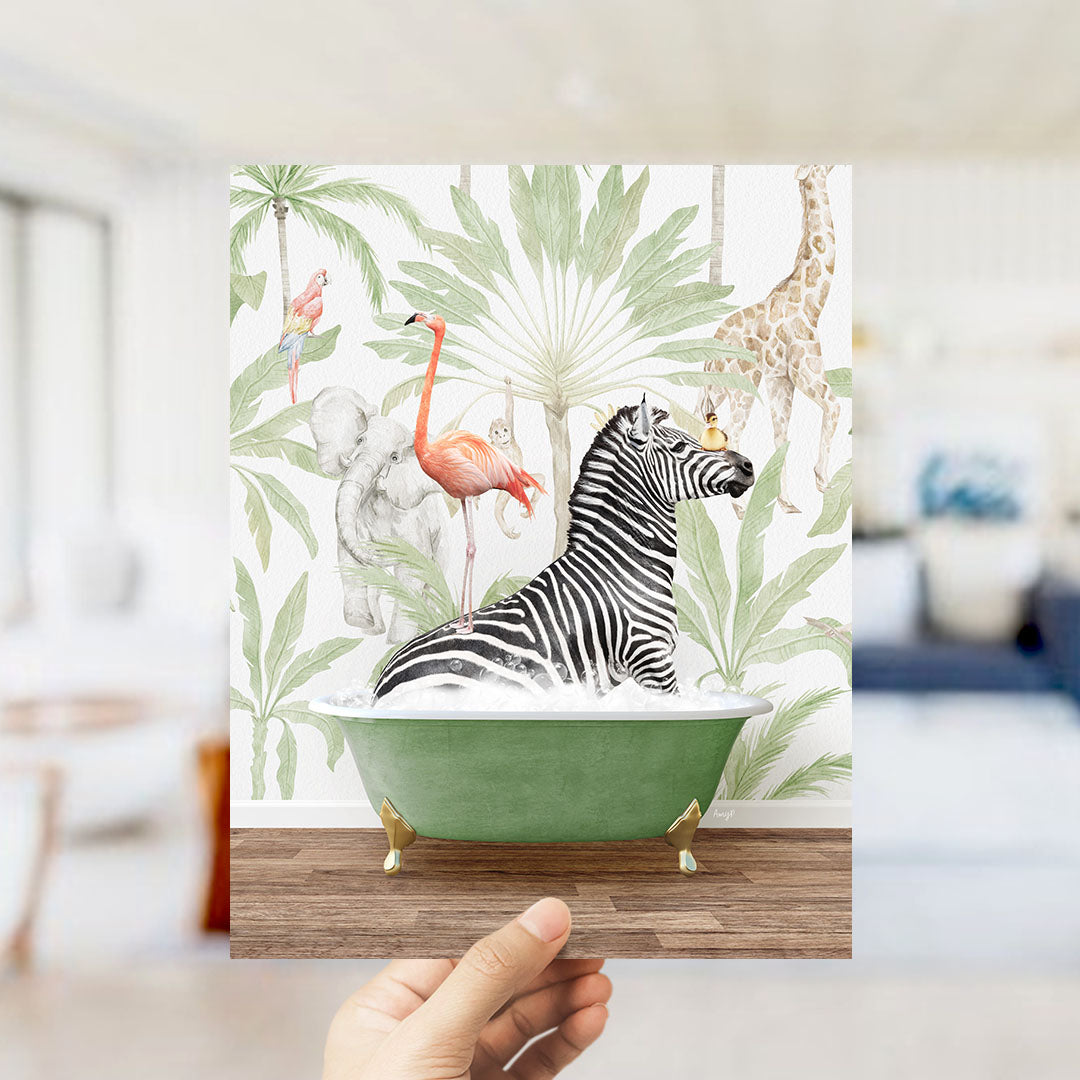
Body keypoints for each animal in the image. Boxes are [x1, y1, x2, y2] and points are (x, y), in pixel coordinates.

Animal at [489, 376, 546, 539]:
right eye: (496, 432)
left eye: (505, 430)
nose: (502, 435)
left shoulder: (511, 426)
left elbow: (510, 406)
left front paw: (508, 384)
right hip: (508, 486)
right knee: (498, 508)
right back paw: (508, 531)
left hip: (525, 480)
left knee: (540, 480)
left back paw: (529, 508)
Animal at [700, 165, 841, 515]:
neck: (812, 304)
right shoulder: (808, 375)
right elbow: (835, 406)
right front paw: (822, 481)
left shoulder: (780, 381)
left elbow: (781, 437)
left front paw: (787, 503)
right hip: (742, 387)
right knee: (733, 434)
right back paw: (738, 508)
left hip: (714, 390)